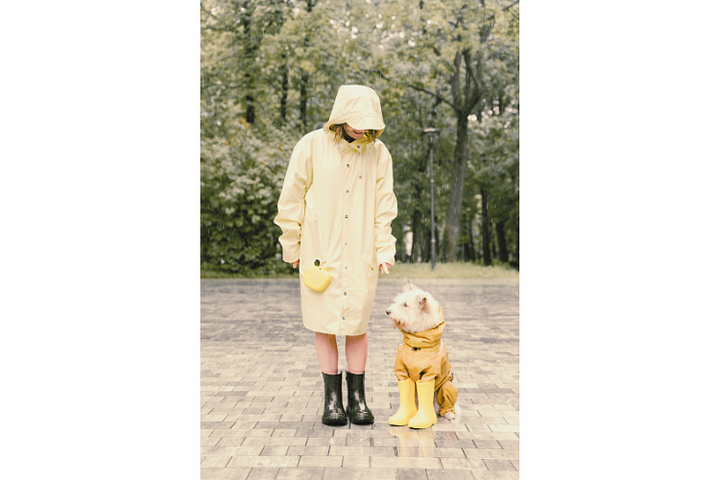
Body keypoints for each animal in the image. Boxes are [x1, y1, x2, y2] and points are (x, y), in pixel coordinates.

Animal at [386, 278, 458, 428]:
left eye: (405, 304)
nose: (387, 311)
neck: (417, 343)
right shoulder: (402, 372)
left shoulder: (429, 374)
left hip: (447, 386)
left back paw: (447, 413)